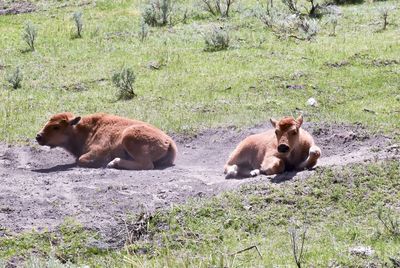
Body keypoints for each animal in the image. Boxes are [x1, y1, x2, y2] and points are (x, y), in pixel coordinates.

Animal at [36, 112, 177, 170]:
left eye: (56, 127)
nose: (38, 136)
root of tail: (168, 141)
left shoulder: (99, 150)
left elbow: (80, 160)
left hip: (129, 137)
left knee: (146, 165)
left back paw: (114, 163)